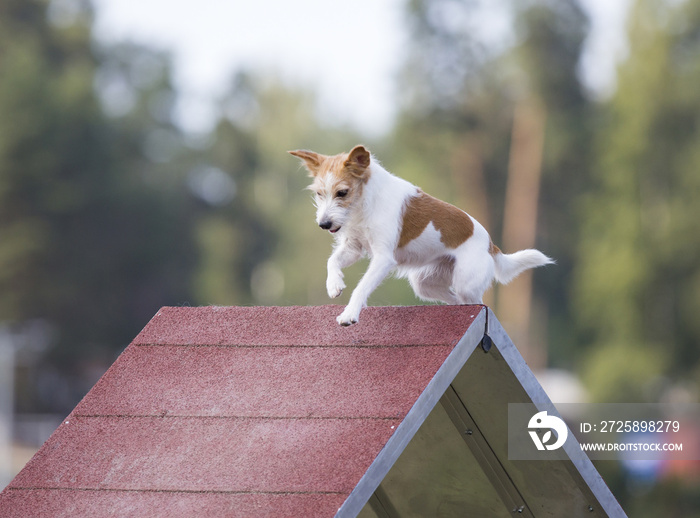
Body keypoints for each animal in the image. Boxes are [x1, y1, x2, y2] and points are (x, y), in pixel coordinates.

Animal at [288, 144, 552, 328]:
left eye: (342, 193)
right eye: (319, 194)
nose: (323, 224)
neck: (364, 204)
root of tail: (491, 244)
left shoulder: (383, 258)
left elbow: (362, 286)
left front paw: (349, 313)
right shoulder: (353, 247)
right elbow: (332, 261)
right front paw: (334, 284)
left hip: (466, 282)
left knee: (477, 303)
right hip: (425, 283)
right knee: (455, 301)